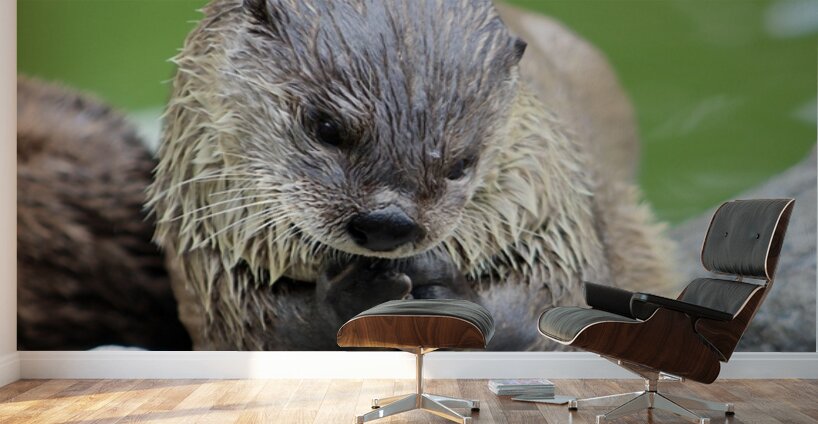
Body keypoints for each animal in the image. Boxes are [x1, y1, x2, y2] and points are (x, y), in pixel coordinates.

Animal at [148, 0, 675, 350]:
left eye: (463, 163)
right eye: (325, 127)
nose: (387, 222)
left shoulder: (550, 218)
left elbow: (539, 308)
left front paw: (444, 288)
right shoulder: (212, 259)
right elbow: (266, 329)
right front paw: (356, 295)